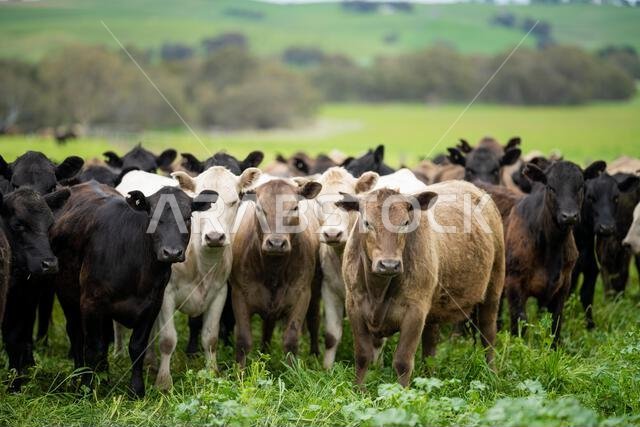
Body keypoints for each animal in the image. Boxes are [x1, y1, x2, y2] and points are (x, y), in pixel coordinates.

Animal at [0, 188, 70, 390]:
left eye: (50, 225)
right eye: (18, 224)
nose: (50, 264)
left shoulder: (23, 301)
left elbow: (14, 340)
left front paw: (15, 385)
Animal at [51, 182, 216, 397]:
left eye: (188, 217)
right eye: (153, 217)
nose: (172, 252)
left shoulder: (152, 305)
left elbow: (137, 347)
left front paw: (136, 390)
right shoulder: (90, 301)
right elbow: (92, 347)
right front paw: (86, 388)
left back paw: (104, 375)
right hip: (67, 294)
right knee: (76, 334)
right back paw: (77, 376)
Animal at [230, 178, 322, 367]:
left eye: (294, 207)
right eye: (259, 208)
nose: (277, 243)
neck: (274, 270)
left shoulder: (302, 295)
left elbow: (291, 340)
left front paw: (293, 372)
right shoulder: (239, 294)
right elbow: (243, 340)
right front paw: (239, 372)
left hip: (316, 288)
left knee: (314, 319)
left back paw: (315, 355)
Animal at [337, 181, 505, 387]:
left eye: (405, 223)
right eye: (367, 223)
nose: (389, 264)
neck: (378, 290)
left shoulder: (415, 311)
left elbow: (402, 361)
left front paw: (402, 392)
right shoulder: (354, 306)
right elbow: (362, 356)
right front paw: (358, 390)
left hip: (494, 288)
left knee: (488, 335)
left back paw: (493, 375)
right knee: (430, 347)